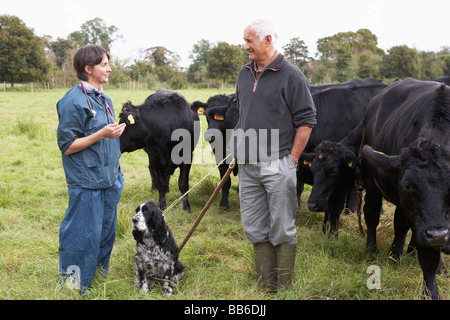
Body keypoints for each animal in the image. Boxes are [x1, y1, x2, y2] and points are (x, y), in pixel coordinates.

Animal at [358, 78, 450, 300]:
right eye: (407, 185)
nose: (437, 234)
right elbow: (428, 258)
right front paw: (431, 292)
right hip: (371, 179)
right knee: (373, 213)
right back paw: (375, 250)